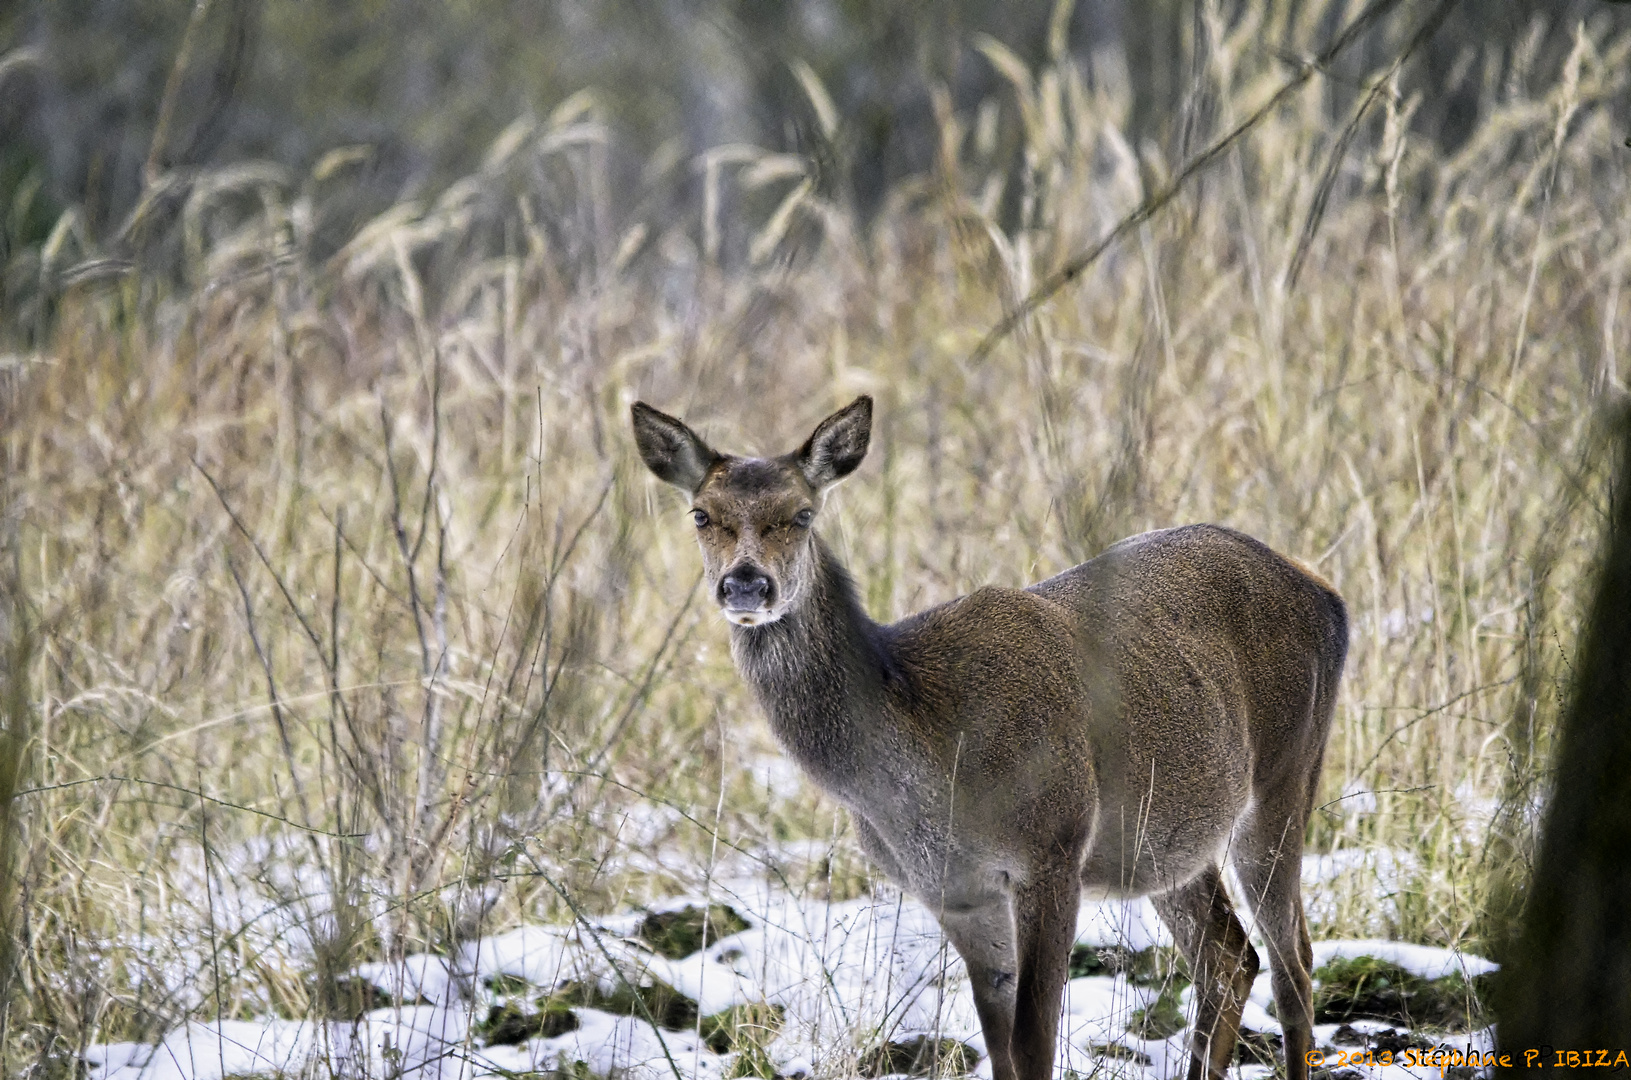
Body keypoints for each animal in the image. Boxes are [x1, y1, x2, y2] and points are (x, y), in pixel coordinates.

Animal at [629, 398, 1343, 1080]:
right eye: (701, 514)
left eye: (802, 512)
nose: (746, 584)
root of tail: (1328, 593)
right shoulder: (956, 893)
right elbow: (999, 1048)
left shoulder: (1053, 849)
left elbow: (1033, 1044)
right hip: (1162, 839)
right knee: (1229, 955)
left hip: (1286, 775)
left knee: (1294, 963)